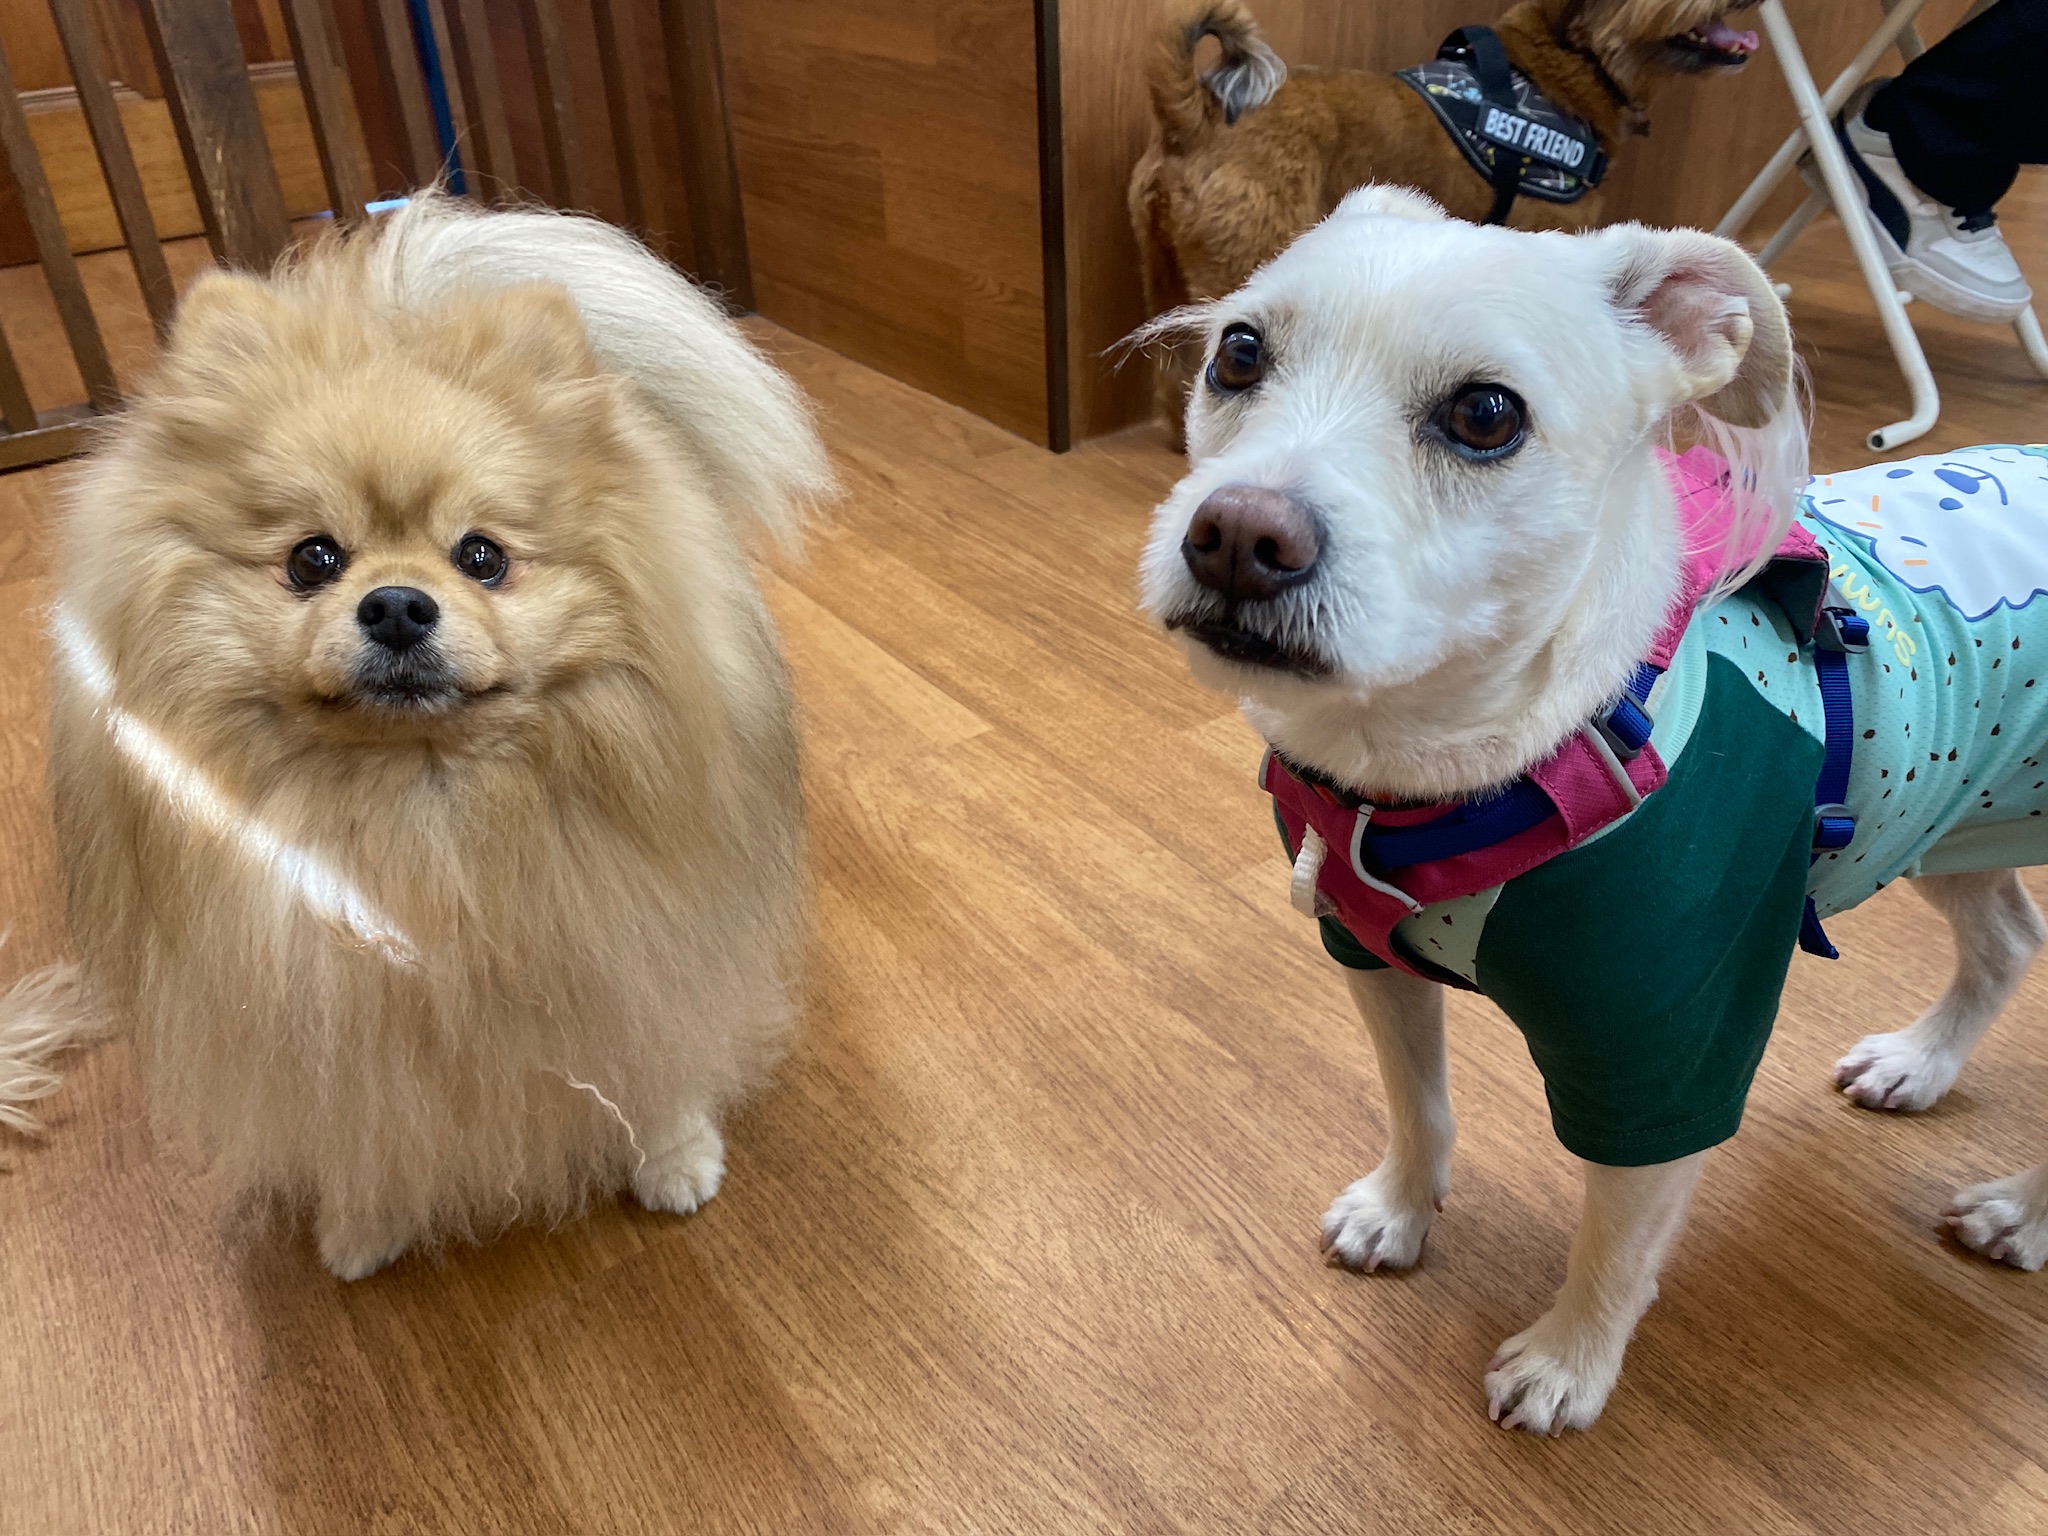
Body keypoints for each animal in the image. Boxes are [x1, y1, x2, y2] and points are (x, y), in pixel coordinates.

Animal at [0, 193, 831, 1280]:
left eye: (482, 557)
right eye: (312, 560)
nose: (396, 605)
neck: (422, 809)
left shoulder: (636, 939)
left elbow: (654, 1052)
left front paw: (675, 1153)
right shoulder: (331, 1021)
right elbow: (364, 1120)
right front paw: (363, 1222)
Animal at [1137, 184, 2048, 1432]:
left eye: (1484, 415)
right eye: (1237, 353)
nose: (1235, 536)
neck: (1432, 767)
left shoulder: (1667, 1053)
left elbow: (1616, 1239)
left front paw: (1569, 1363)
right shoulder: (1367, 961)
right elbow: (1415, 1103)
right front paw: (1400, 1209)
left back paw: (2022, 1210)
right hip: (1956, 819)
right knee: (2005, 939)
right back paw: (1919, 1064)